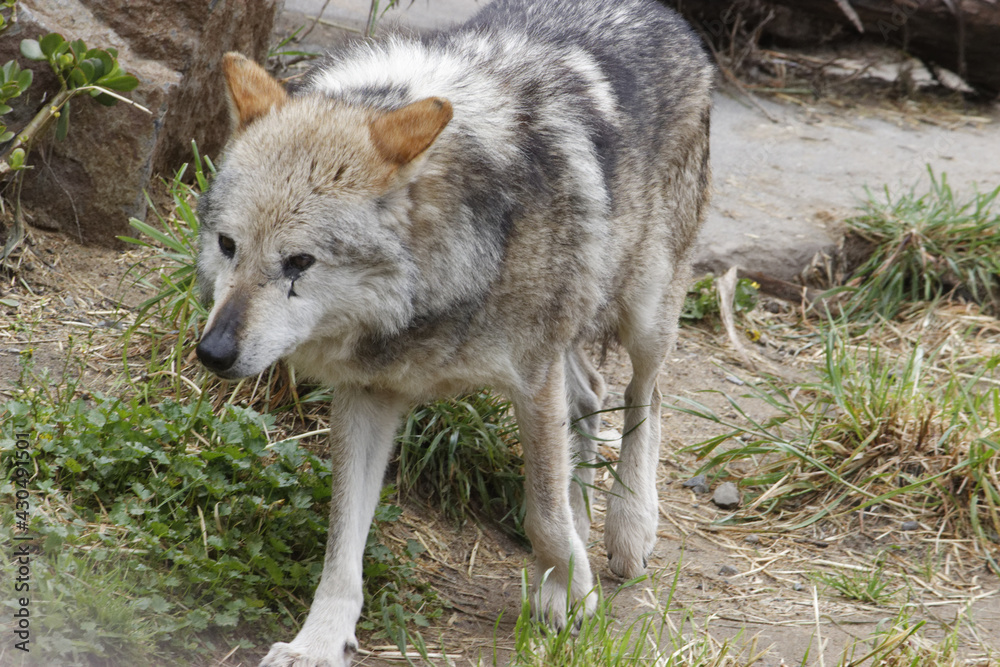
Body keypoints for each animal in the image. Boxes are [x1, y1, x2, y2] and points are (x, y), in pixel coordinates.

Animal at [195, 2, 712, 664]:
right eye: (228, 245)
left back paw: (628, 528)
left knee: (646, 395)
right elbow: (342, 541)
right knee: (593, 394)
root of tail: (668, 16)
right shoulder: (368, 394)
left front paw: (573, 595)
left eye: (299, 263)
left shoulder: (532, 377)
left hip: (645, 309)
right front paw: (318, 641)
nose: (212, 353)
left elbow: (542, 514)